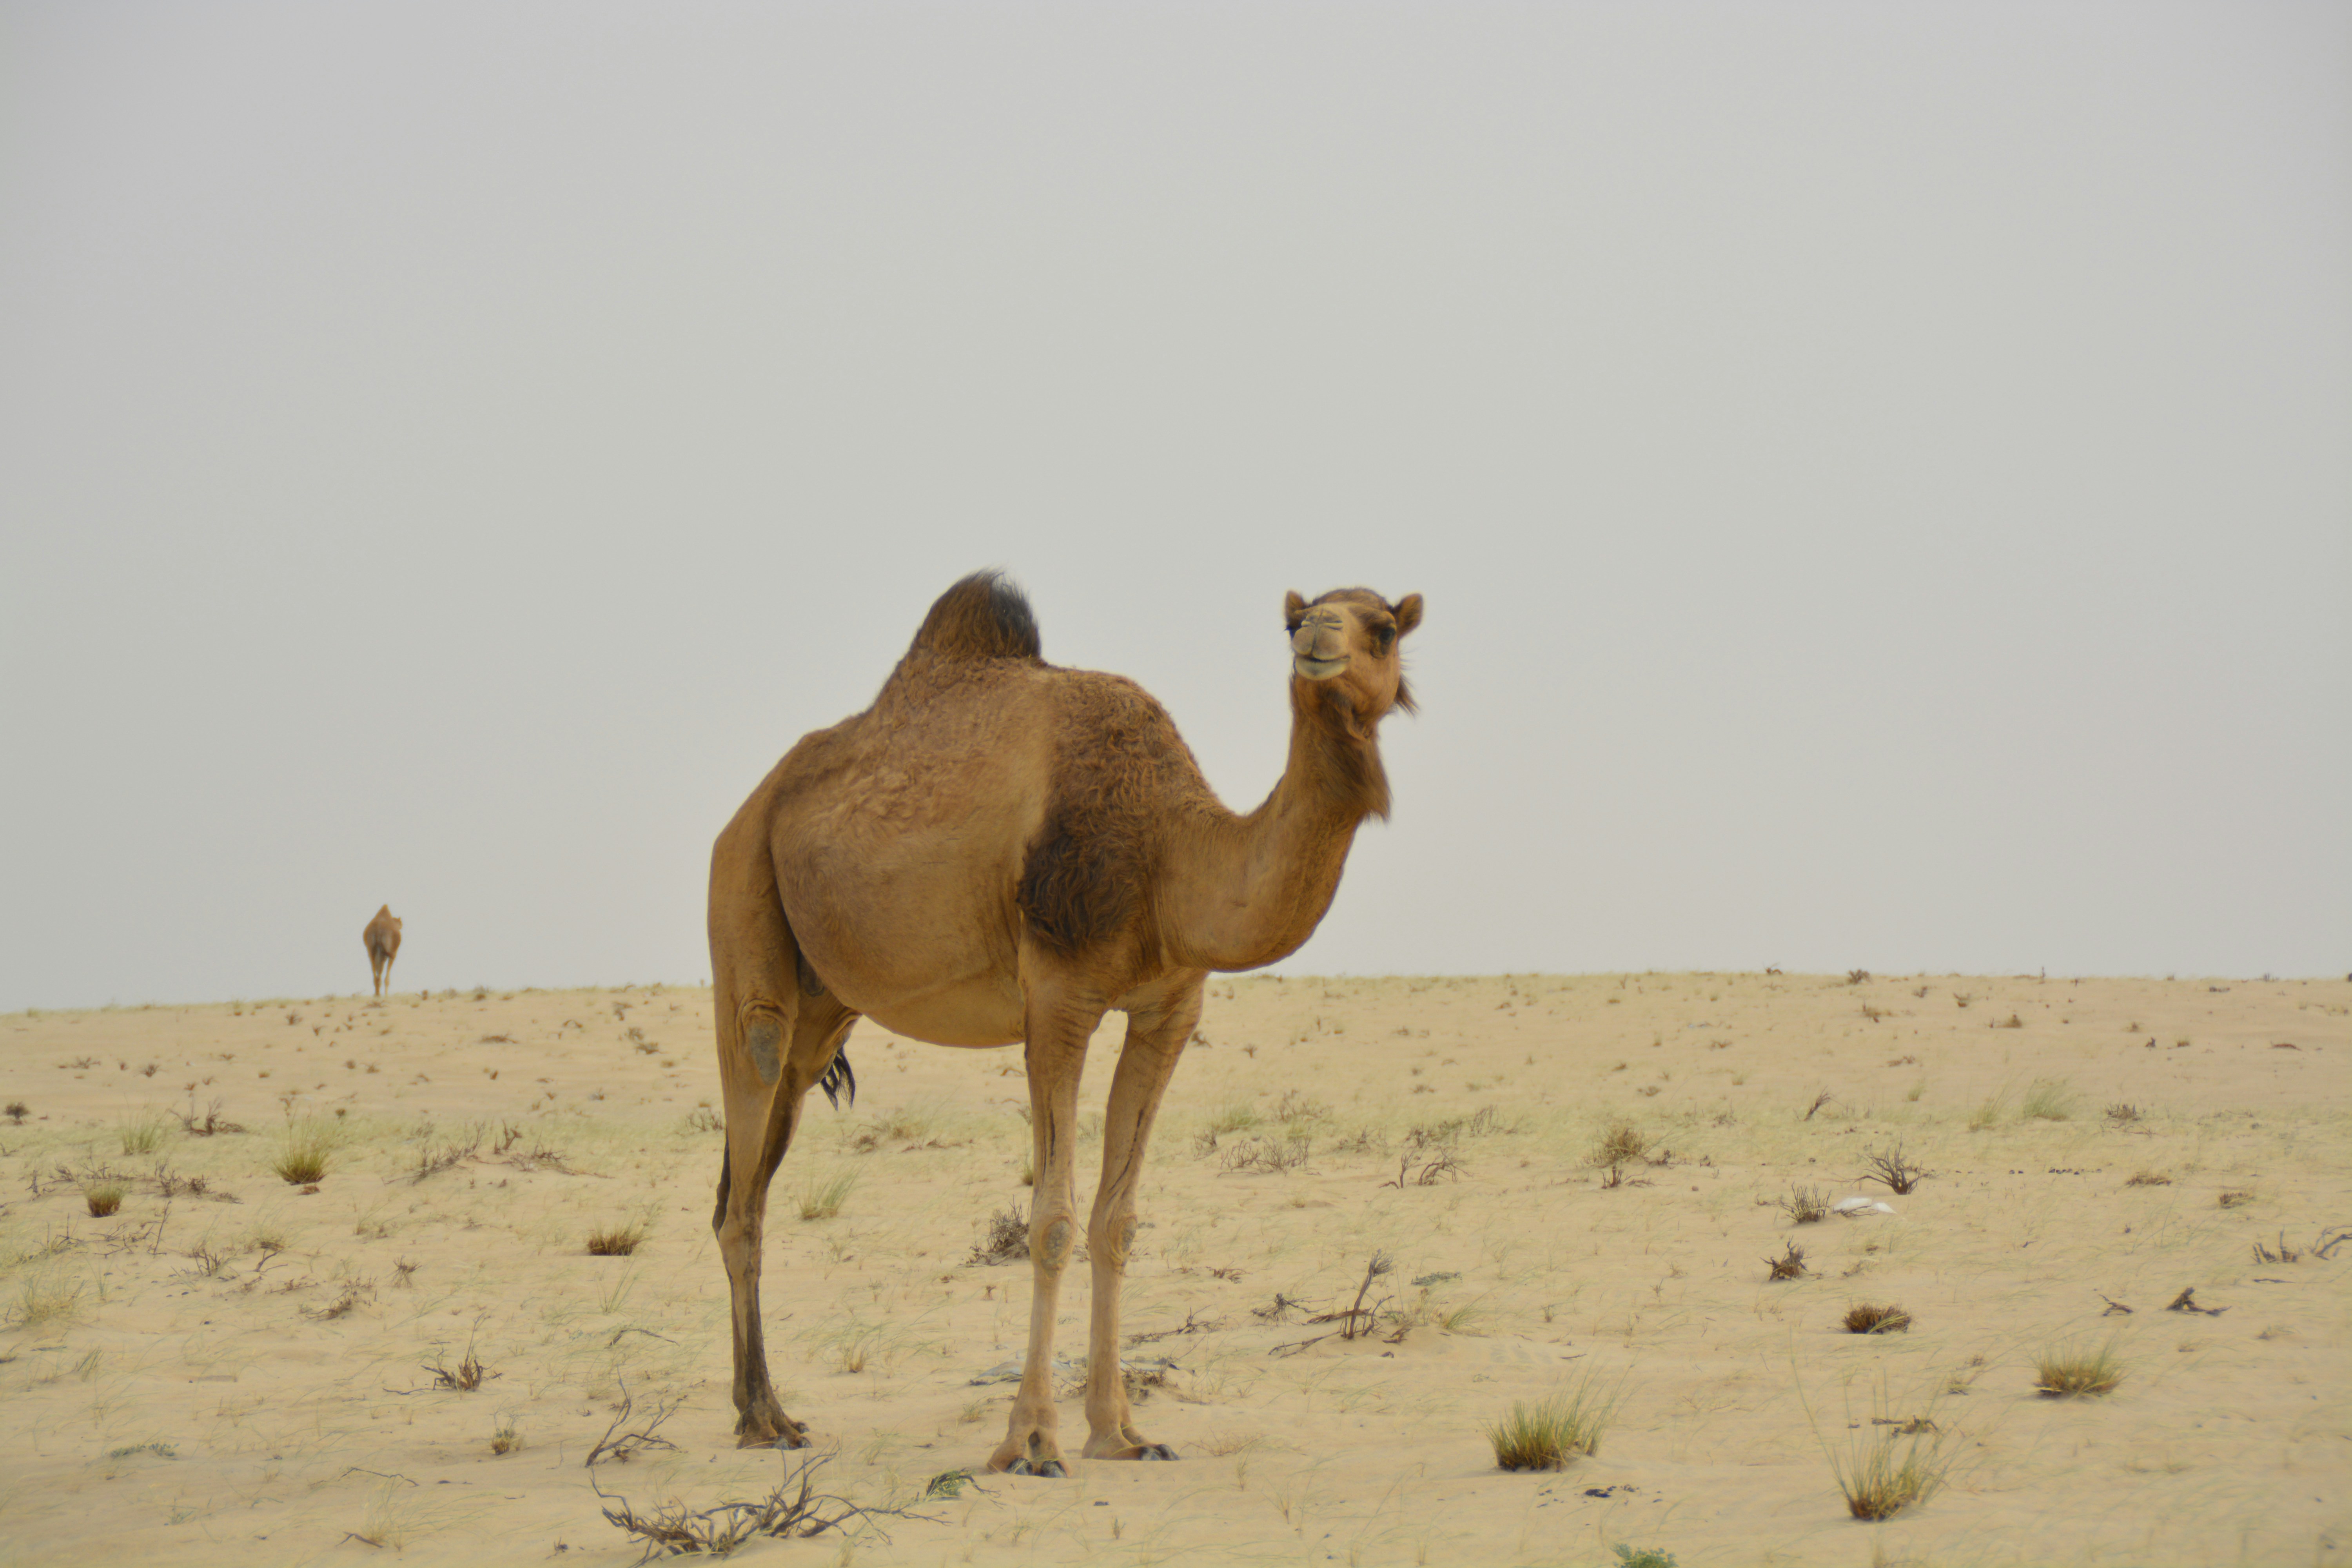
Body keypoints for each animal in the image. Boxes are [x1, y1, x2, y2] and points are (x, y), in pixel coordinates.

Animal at [363, 905, 402, 998]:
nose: (401, 926)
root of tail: (378, 930)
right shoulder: (392, 953)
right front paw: (387, 995)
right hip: (387, 952)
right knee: (381, 970)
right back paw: (381, 994)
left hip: (371, 950)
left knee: (375, 968)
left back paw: (377, 994)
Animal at [708, 571, 1422, 1473]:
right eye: (1295, 619)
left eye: (1385, 627)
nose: (1316, 637)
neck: (1169, 855)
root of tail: (748, 809)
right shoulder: (1057, 998)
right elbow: (1051, 1218)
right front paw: (1029, 1441)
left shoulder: (1168, 1009)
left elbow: (1117, 1220)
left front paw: (1120, 1433)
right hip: (744, 907)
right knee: (746, 1142)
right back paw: (763, 1419)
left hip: (825, 1008)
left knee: (752, 1176)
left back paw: (762, 1408)